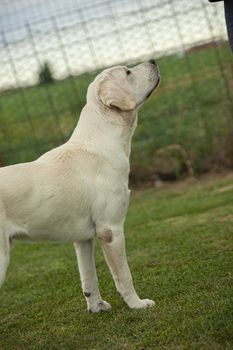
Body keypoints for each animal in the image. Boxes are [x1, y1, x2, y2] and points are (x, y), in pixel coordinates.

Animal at [0, 59, 159, 312]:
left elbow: (89, 277)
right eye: (127, 72)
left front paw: (96, 307)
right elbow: (124, 275)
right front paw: (137, 303)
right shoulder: (111, 230)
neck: (103, 139)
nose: (153, 61)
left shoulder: (82, 239)